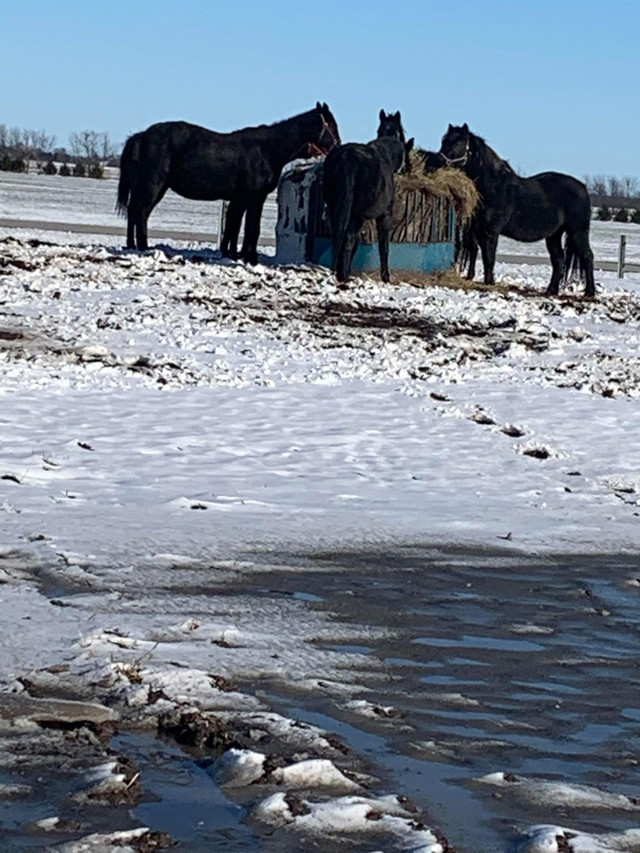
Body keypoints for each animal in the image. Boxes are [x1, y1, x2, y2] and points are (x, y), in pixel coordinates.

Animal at [119, 101, 340, 260]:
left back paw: (132, 245)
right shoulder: (251, 198)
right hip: (152, 185)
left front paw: (232, 252)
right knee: (140, 211)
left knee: (136, 211)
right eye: (331, 125)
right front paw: (248, 257)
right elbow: (249, 228)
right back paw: (142, 246)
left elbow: (237, 226)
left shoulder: (245, 199)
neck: (267, 150)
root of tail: (141, 136)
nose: (338, 146)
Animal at [324, 108, 416, 282]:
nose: (408, 169)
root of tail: (347, 157)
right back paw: (344, 276)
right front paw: (386, 276)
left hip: (336, 209)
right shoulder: (385, 215)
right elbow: (383, 246)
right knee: (348, 239)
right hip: (356, 216)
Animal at [440, 123, 596, 296]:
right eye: (444, 140)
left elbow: (489, 258)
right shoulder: (478, 231)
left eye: (458, 142)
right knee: (559, 261)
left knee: (587, 256)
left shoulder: (490, 232)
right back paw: (551, 291)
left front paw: (489, 283)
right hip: (554, 235)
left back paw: (589, 292)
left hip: (577, 232)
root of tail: (583, 188)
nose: (439, 160)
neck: (493, 187)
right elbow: (480, 254)